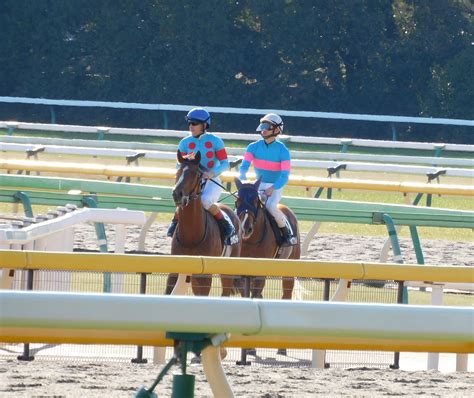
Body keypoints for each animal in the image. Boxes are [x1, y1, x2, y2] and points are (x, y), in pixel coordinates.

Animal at [166, 151, 241, 296]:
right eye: (177, 171)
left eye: (195, 174)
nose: (177, 194)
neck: (191, 237)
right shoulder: (176, 270)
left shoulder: (203, 276)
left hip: (228, 268)